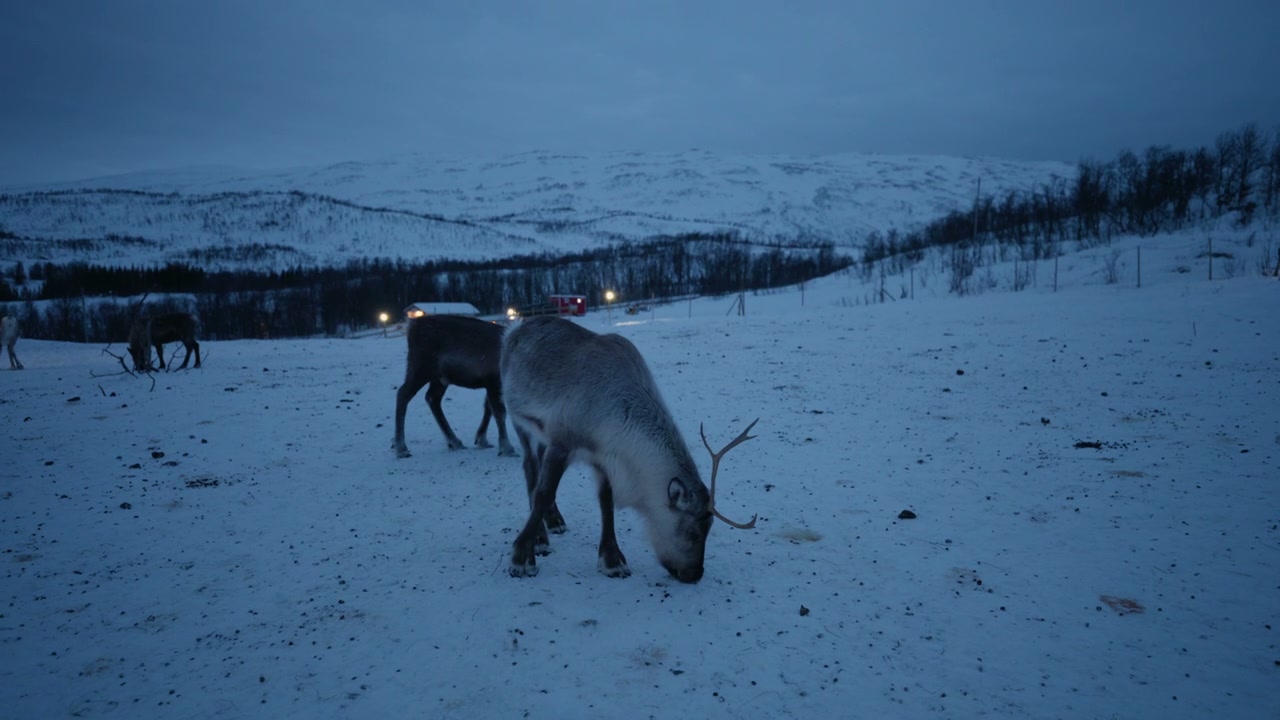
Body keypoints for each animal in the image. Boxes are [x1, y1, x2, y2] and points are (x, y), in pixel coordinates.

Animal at [392, 314, 517, 458]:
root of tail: (412, 326)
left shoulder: (492, 384)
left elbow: (488, 408)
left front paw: (481, 439)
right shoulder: (493, 380)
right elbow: (499, 412)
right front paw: (507, 448)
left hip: (440, 378)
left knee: (432, 398)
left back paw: (454, 441)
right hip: (420, 367)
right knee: (403, 394)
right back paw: (401, 447)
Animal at [500, 315, 757, 583]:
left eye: (709, 528)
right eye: (693, 532)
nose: (694, 574)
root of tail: (515, 328)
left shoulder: (603, 457)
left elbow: (606, 502)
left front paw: (612, 559)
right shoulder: (562, 441)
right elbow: (544, 493)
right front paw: (521, 557)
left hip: (542, 437)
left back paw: (554, 521)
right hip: (520, 422)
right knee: (531, 469)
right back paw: (541, 537)